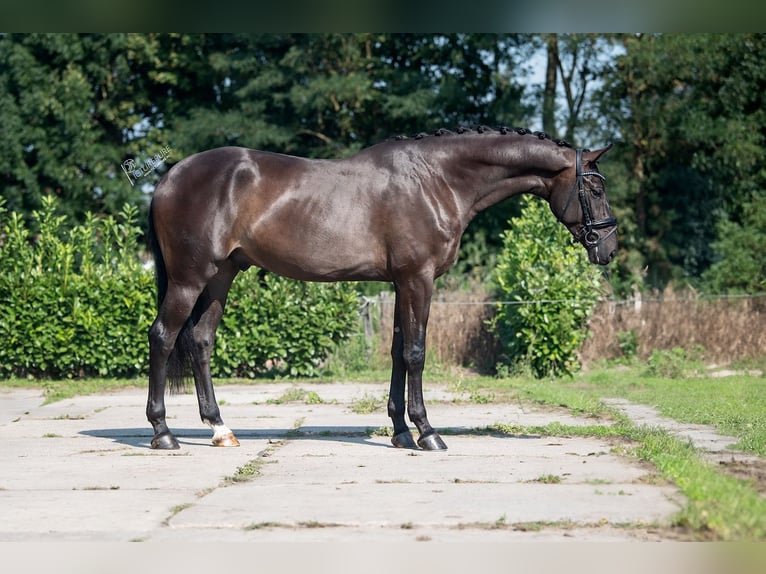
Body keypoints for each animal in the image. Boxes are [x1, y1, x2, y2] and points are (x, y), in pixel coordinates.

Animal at [147, 127, 620, 454]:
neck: (437, 181)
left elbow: (397, 351)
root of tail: (169, 177)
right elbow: (416, 352)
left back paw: (220, 430)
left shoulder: (400, 283)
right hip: (190, 279)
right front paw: (428, 433)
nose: (609, 249)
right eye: (595, 188)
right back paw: (163, 432)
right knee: (163, 336)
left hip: (221, 276)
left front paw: (400, 432)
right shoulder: (418, 279)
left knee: (200, 340)